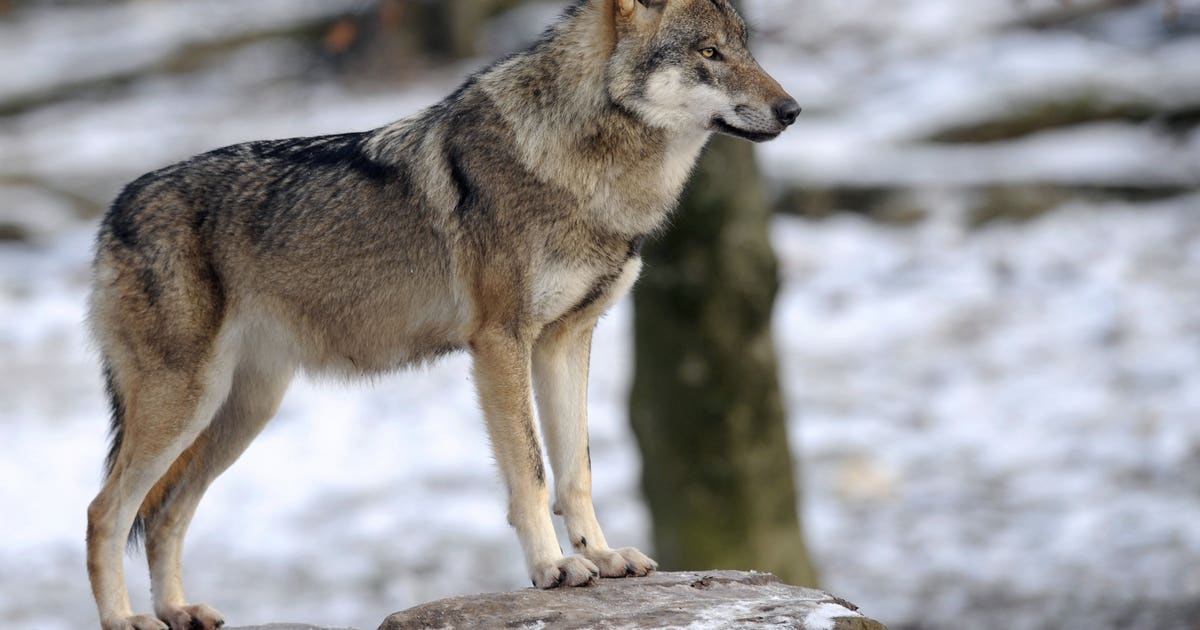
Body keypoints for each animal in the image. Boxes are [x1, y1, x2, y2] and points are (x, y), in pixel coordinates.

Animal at [85, 0, 798, 628]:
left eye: (746, 46)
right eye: (709, 54)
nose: (792, 110)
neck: (584, 163)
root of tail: (113, 211)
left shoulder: (566, 340)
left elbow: (577, 471)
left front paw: (600, 555)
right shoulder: (501, 342)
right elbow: (532, 472)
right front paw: (553, 569)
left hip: (240, 413)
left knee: (165, 517)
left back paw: (178, 611)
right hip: (186, 404)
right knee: (104, 513)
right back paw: (127, 620)